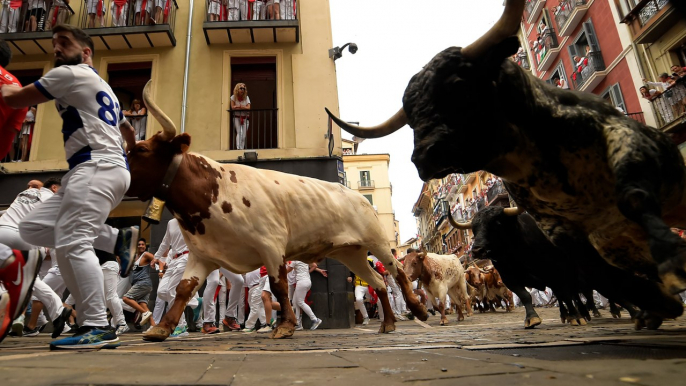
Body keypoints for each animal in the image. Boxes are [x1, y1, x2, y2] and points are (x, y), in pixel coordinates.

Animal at [126, 81, 428, 340]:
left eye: (141, 150)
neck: (214, 191)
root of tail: (359, 197)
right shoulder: (203, 254)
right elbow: (183, 289)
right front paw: (162, 328)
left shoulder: (270, 245)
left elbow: (279, 285)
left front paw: (285, 325)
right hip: (350, 252)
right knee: (378, 282)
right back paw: (388, 323)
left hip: (377, 242)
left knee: (398, 273)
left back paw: (417, 309)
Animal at [326, 0, 686, 328]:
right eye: (410, 114)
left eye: (458, 85)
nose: (423, 156)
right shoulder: (539, 251)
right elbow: (532, 292)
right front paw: (534, 318)